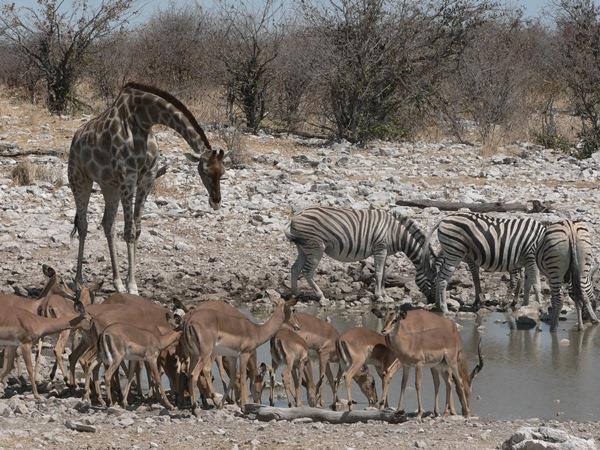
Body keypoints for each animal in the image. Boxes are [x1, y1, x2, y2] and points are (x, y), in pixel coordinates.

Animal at [68, 82, 223, 294]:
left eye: (222, 172)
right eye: (205, 171)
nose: (216, 201)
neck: (144, 120)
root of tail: (75, 138)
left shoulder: (147, 178)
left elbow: (138, 229)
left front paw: (128, 282)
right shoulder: (129, 177)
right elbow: (129, 231)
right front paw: (132, 286)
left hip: (110, 185)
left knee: (108, 224)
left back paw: (116, 282)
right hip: (79, 179)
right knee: (83, 225)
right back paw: (78, 281)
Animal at [284, 207, 436, 302]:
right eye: (432, 281)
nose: (434, 303)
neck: (396, 233)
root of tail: (296, 216)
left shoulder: (385, 251)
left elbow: (384, 273)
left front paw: (385, 295)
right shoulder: (380, 248)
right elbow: (378, 273)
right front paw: (379, 296)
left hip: (303, 248)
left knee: (295, 268)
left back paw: (295, 294)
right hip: (315, 247)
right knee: (307, 272)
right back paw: (321, 297)